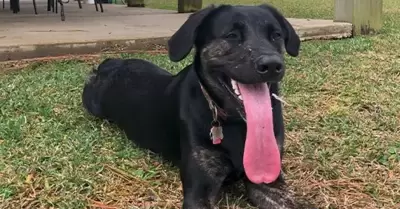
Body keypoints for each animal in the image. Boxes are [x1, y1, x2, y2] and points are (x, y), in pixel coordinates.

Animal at [83, 3, 318, 209]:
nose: (271, 65)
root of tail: (112, 64)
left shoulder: (270, 183)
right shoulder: (199, 190)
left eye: (276, 35)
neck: (236, 123)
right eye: (232, 35)